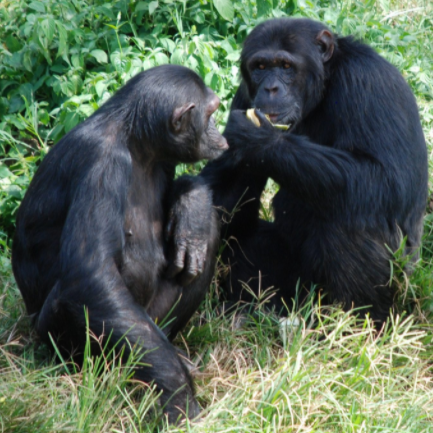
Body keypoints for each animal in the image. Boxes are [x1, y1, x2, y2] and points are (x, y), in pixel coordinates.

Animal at [12, 65, 228, 422]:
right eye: (210, 113)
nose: (220, 134)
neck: (137, 143)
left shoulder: (164, 159)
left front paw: (192, 206)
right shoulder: (101, 164)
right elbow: (92, 274)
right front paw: (179, 397)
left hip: (151, 323)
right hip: (67, 342)